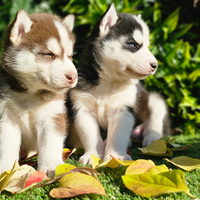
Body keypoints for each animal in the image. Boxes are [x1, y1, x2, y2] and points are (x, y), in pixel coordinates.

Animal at [0, 10, 77, 176]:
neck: (30, 95)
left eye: (70, 56)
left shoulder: (52, 116)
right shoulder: (6, 118)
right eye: (48, 54)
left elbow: (50, 143)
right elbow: (7, 145)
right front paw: (6, 171)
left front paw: (51, 166)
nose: (73, 76)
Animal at [66, 3, 170, 165]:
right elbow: (90, 135)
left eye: (147, 46)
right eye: (133, 44)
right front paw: (92, 155)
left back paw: (152, 137)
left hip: (155, 100)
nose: (155, 65)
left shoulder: (122, 111)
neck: (108, 82)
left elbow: (117, 136)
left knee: (154, 122)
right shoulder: (83, 110)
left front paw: (115, 156)